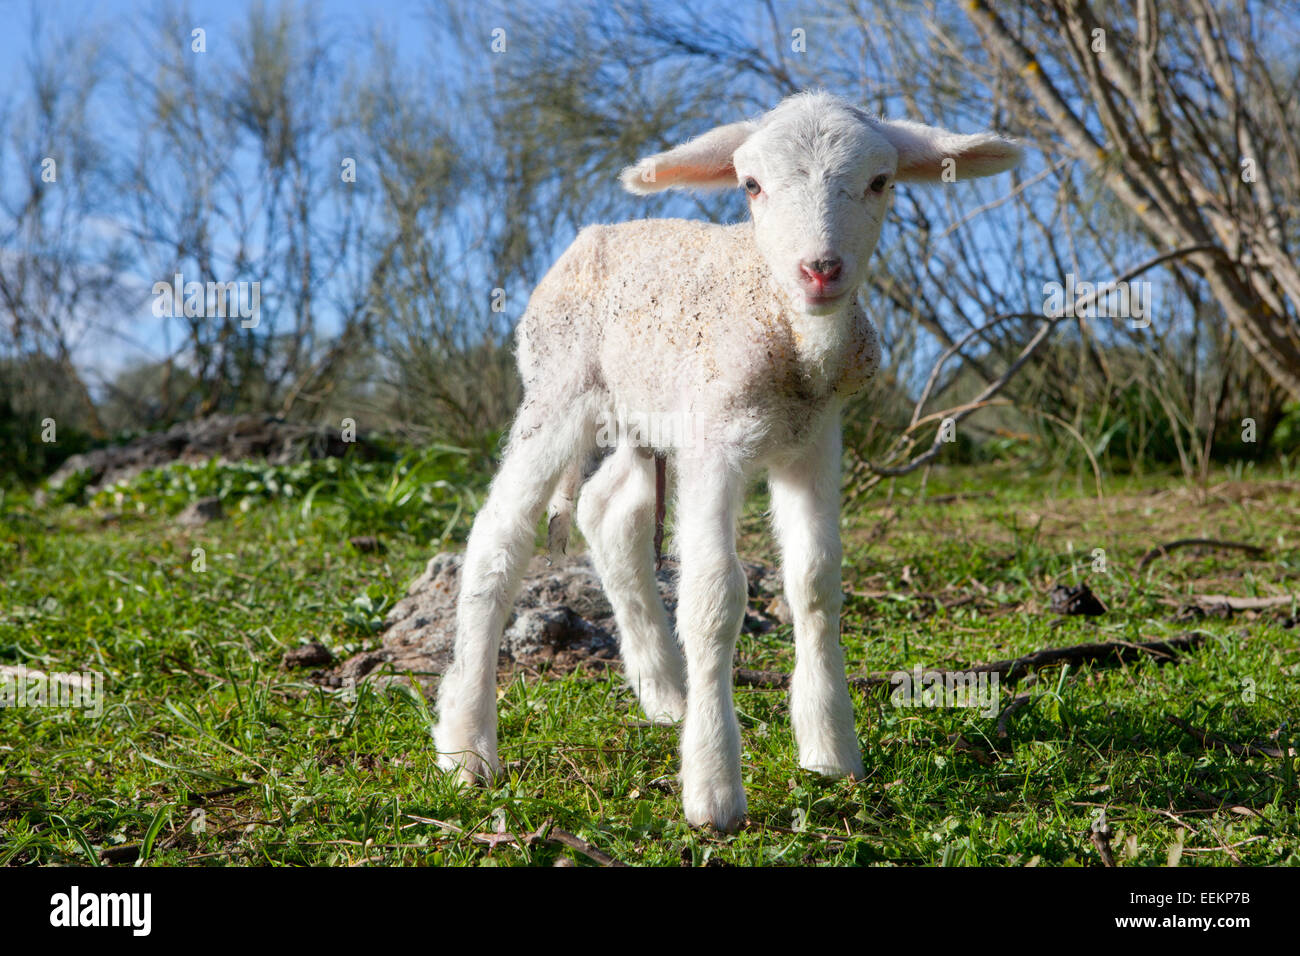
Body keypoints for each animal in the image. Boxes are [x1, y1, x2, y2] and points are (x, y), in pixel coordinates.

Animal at [436, 93, 1024, 832]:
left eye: (880, 182)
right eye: (751, 185)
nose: (820, 269)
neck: (795, 346)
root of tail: (593, 236)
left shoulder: (815, 441)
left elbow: (815, 581)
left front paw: (831, 752)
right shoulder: (715, 440)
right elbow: (716, 595)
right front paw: (714, 790)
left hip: (647, 417)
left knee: (610, 513)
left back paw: (666, 695)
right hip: (561, 386)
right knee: (498, 535)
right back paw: (467, 750)